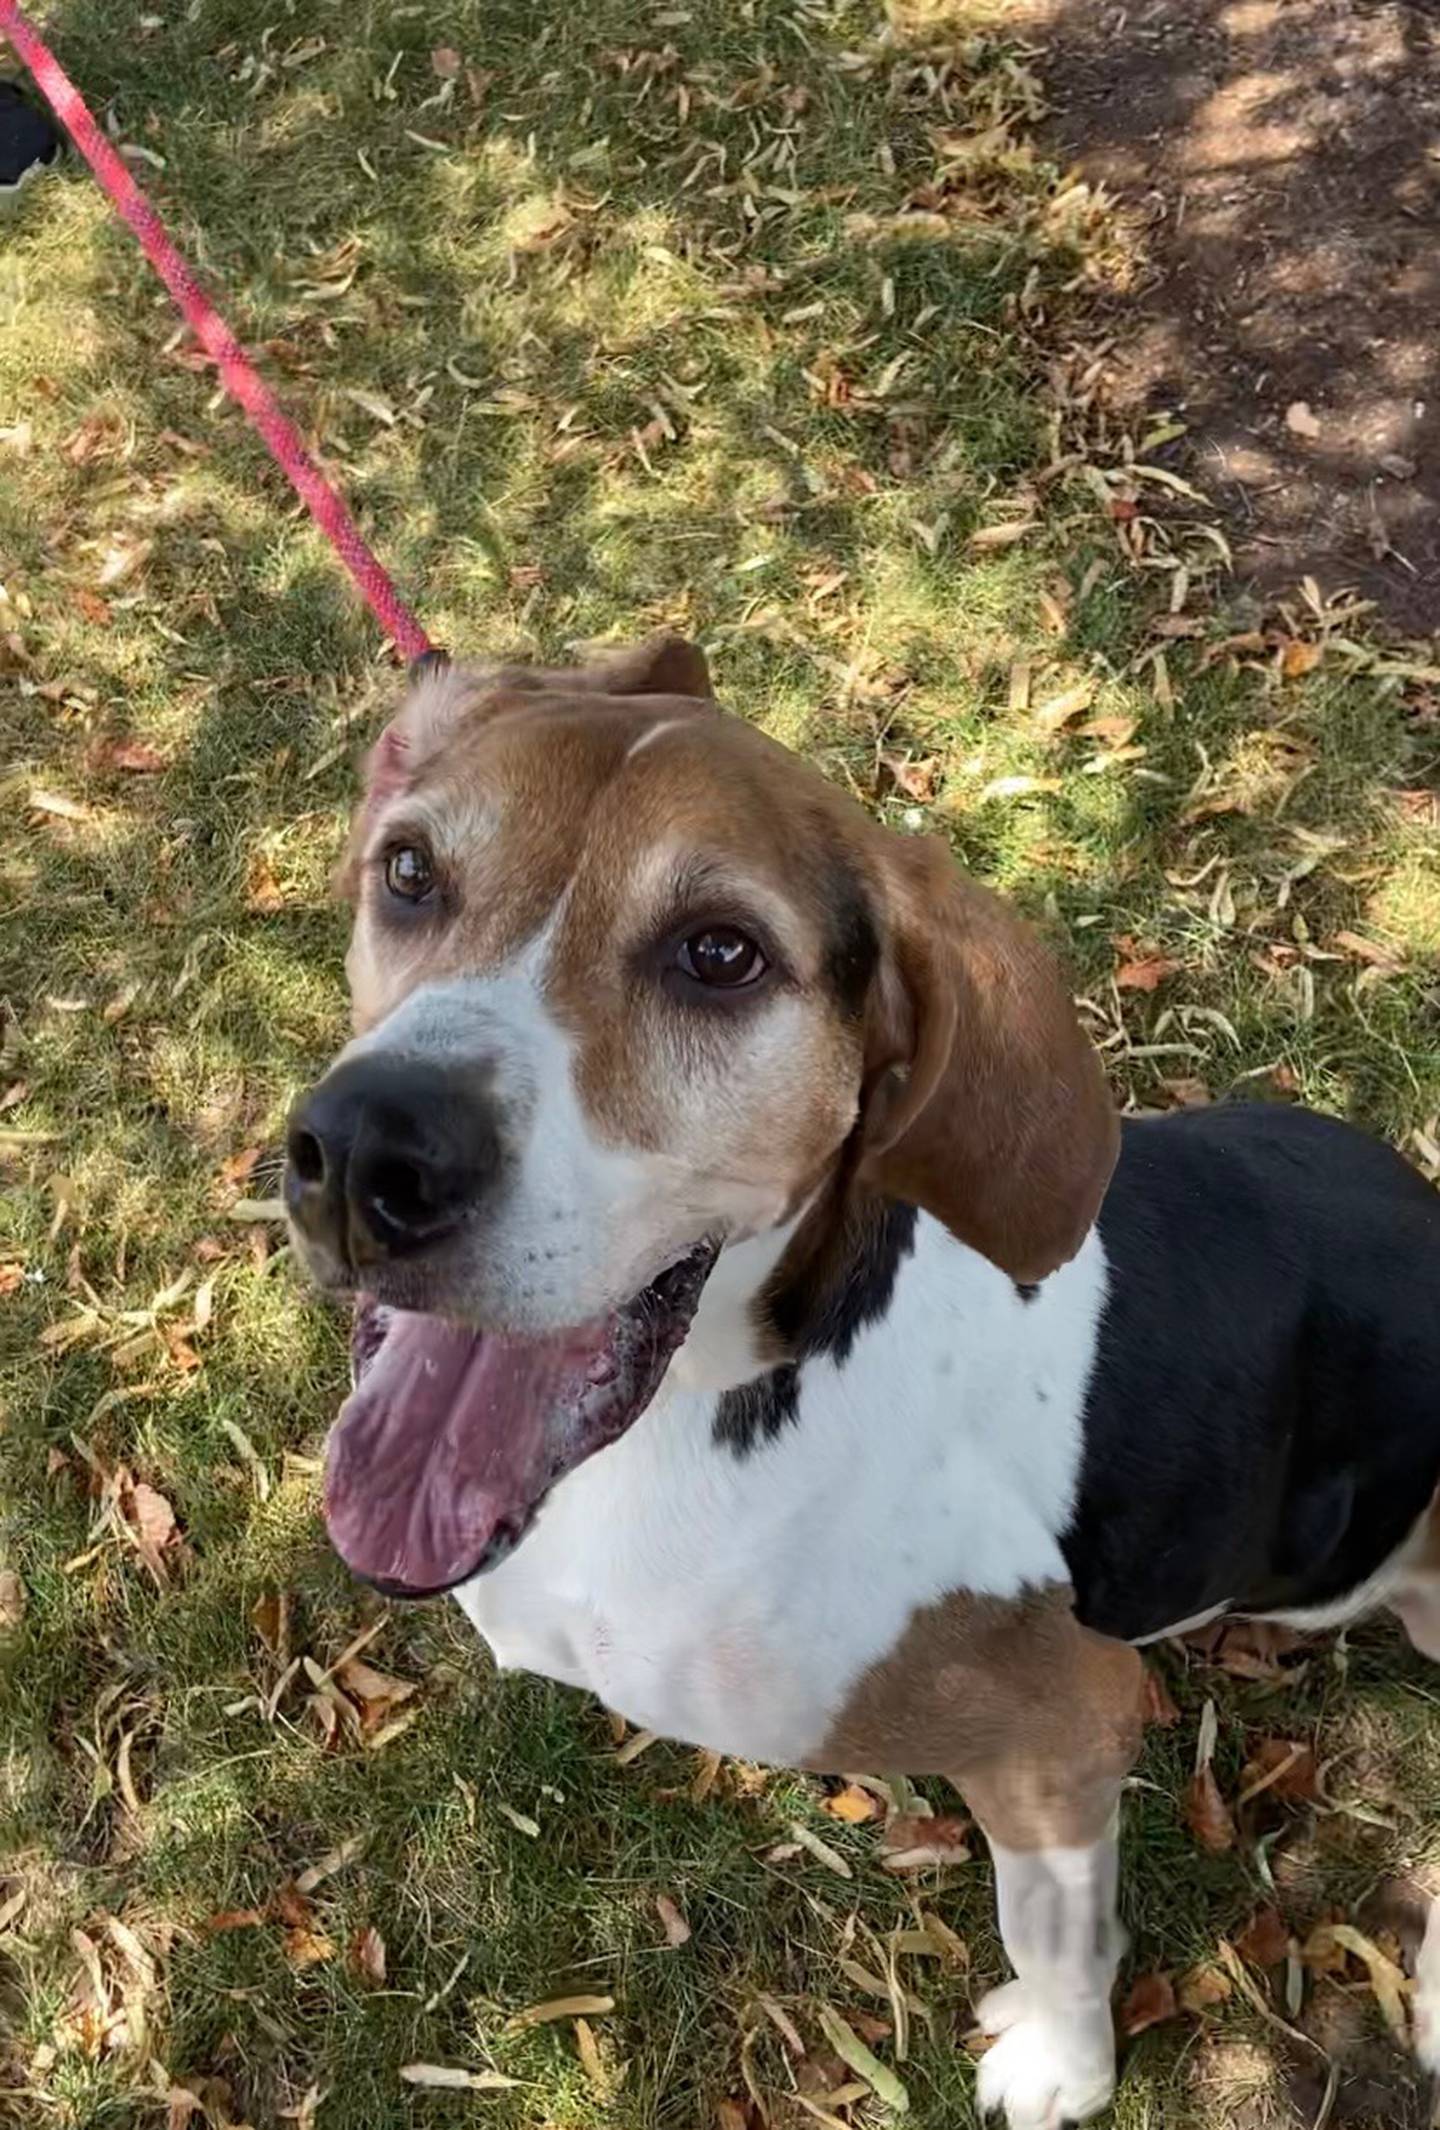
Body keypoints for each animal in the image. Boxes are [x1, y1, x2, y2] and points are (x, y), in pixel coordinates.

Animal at [287, 634, 1440, 2130]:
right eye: (413, 871)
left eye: (720, 953)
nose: (363, 1152)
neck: (707, 1414)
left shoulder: (1062, 1727)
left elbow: (1050, 1927)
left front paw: (1063, 2067)